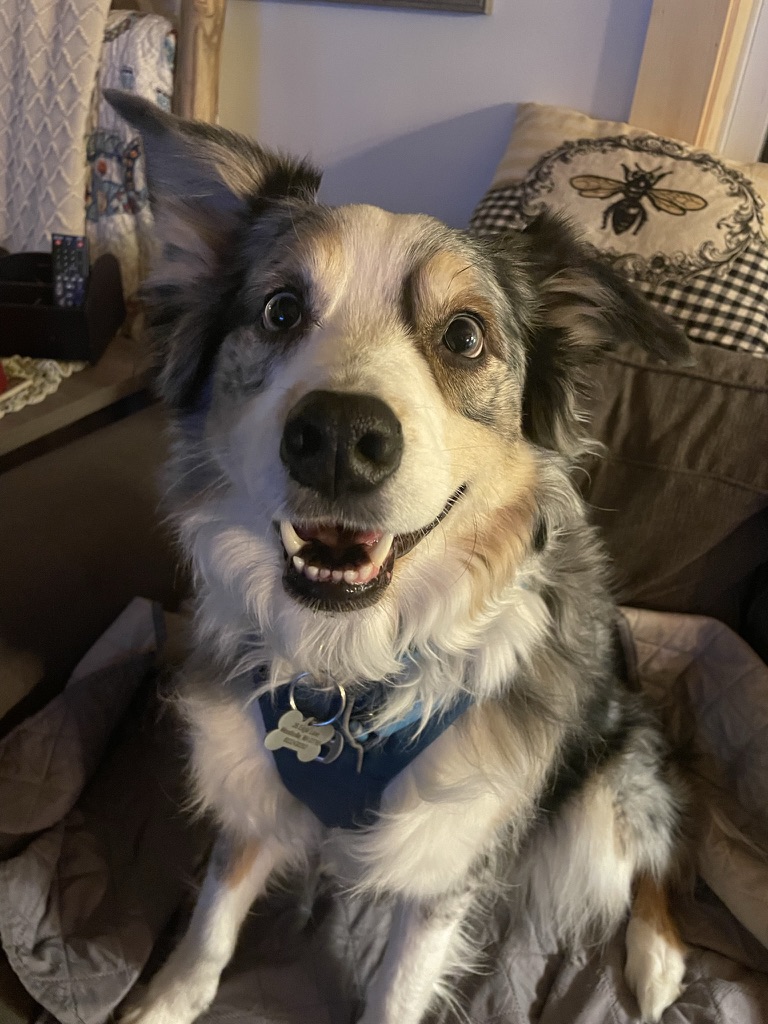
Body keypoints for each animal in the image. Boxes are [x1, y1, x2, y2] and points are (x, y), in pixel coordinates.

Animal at [106, 91, 690, 1024]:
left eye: (464, 337)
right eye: (280, 311)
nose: (339, 440)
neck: (347, 668)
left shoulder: (447, 855)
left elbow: (398, 987)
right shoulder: (251, 784)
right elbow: (212, 920)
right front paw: (166, 1001)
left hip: (604, 798)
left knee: (651, 855)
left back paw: (660, 958)